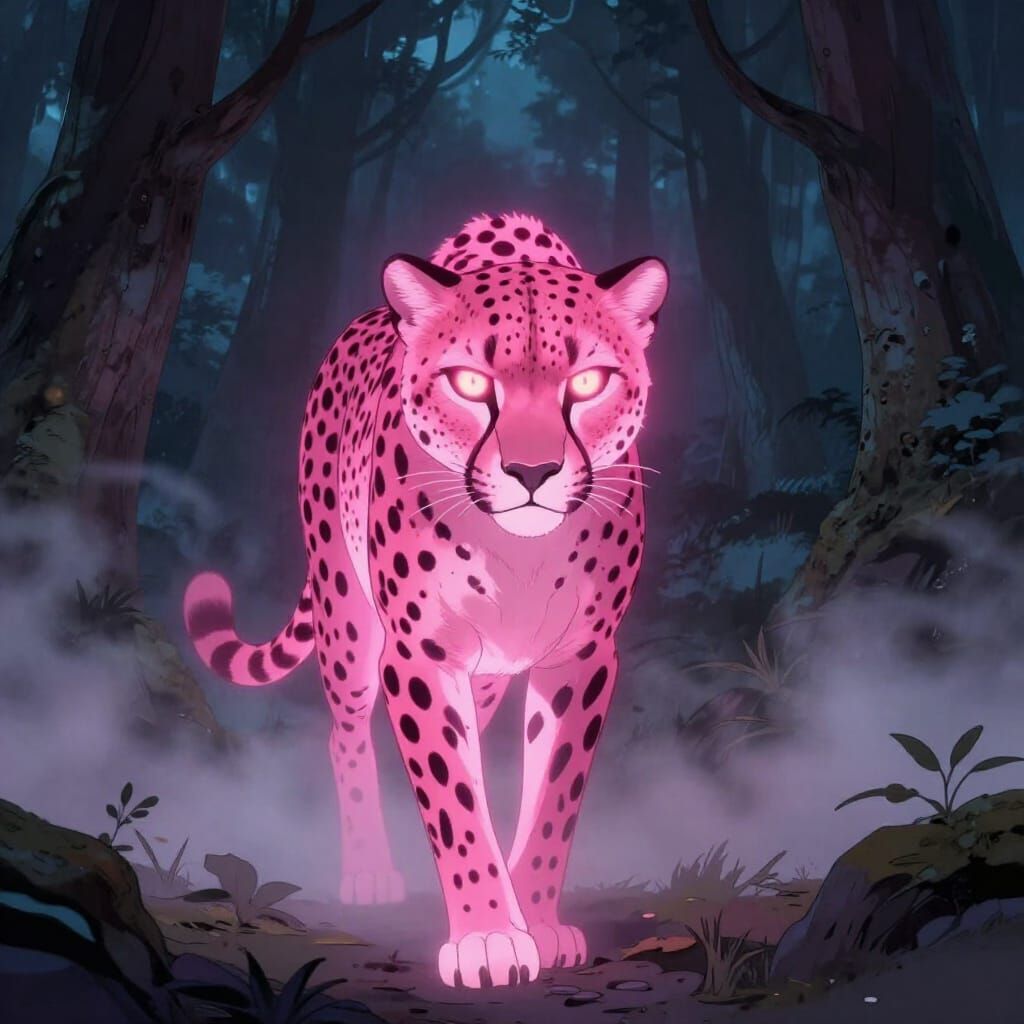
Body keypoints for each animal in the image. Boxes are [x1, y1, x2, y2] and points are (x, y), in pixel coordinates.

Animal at [184, 212, 668, 988]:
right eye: (470, 383)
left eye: (589, 382)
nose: (533, 470)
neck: (520, 552)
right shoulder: (420, 653)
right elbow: (451, 796)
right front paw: (489, 936)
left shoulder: (584, 657)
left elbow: (554, 797)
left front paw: (534, 919)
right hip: (348, 611)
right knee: (345, 730)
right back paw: (369, 873)